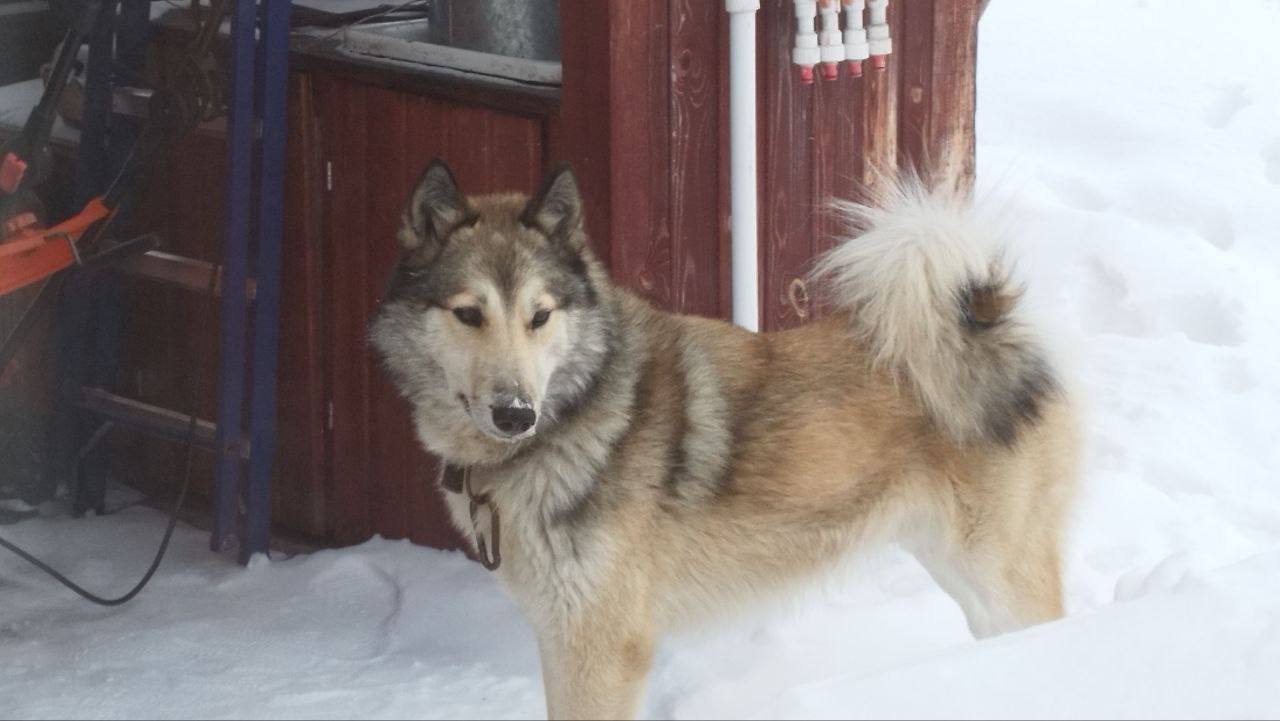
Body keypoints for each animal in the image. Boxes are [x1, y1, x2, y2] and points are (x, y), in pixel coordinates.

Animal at [371, 159, 1080, 721]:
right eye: (468, 314)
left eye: (539, 316)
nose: (516, 413)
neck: (576, 415)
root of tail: (987, 322)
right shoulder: (560, 634)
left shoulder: (603, 647)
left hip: (1002, 573)